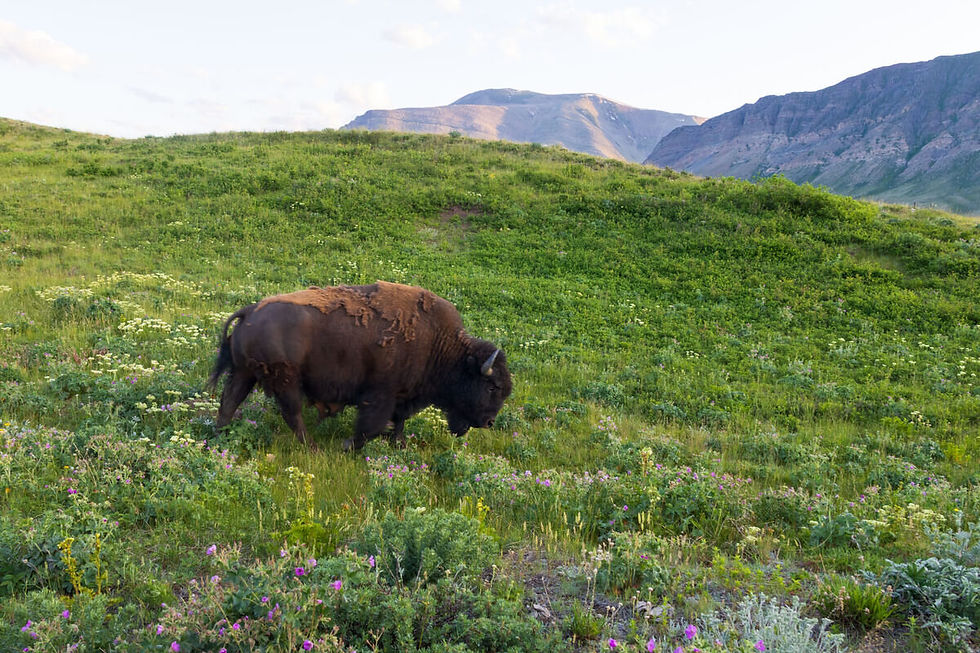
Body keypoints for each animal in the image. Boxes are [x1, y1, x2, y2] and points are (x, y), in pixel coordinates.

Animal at [207, 281, 512, 450]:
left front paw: (399, 445)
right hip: (286, 382)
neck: (442, 346)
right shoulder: (380, 395)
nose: (489, 422)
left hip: (244, 373)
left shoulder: (402, 396)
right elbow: (372, 426)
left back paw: (220, 436)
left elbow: (399, 421)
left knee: (229, 402)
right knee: (292, 415)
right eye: (492, 386)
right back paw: (313, 449)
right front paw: (347, 446)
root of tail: (250, 311)